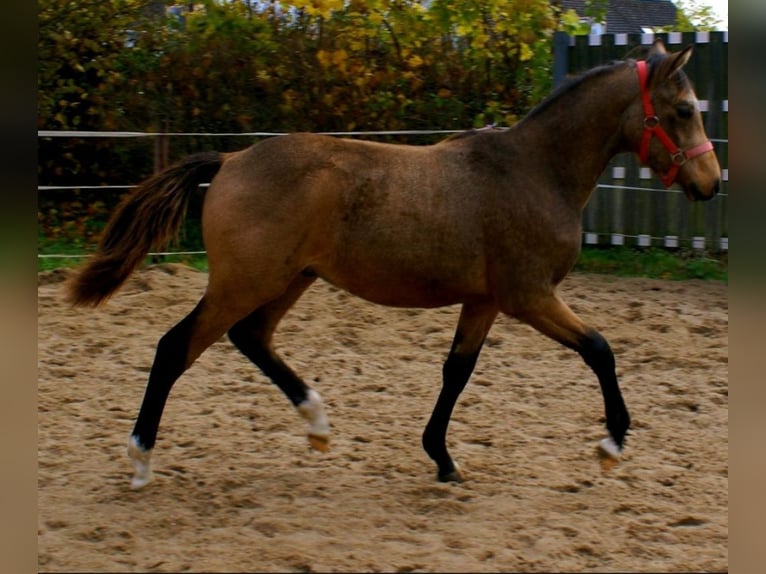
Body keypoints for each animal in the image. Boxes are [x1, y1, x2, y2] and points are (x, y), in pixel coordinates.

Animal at [69, 40, 724, 490]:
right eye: (683, 109)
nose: (711, 183)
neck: (535, 170)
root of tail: (229, 161)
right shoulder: (529, 296)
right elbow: (600, 350)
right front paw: (612, 443)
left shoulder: (484, 301)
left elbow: (456, 372)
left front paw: (442, 458)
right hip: (245, 281)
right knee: (175, 347)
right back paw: (141, 459)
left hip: (288, 279)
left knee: (250, 338)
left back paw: (317, 425)